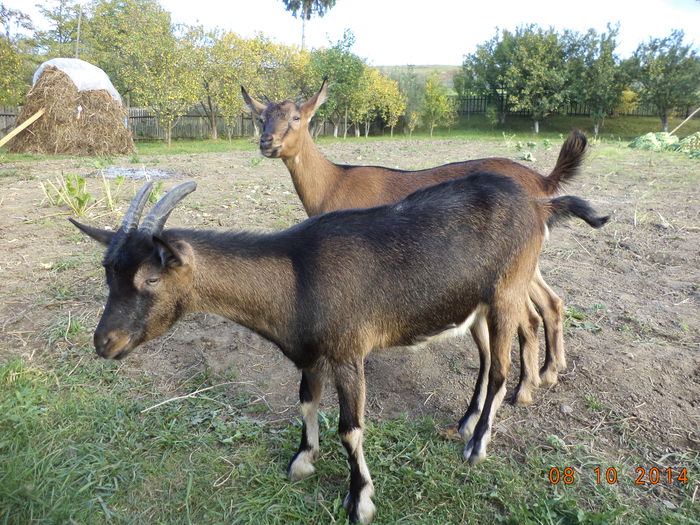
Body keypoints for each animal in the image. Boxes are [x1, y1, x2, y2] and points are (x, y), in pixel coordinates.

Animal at [72, 175, 608, 520]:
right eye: (107, 271)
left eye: (151, 277)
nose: (104, 343)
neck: (295, 277)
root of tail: (539, 206)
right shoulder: (310, 355)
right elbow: (306, 402)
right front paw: (302, 460)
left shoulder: (350, 352)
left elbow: (350, 429)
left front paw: (360, 500)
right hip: (472, 304)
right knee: (483, 361)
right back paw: (464, 422)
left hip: (508, 291)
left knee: (500, 366)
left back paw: (477, 445)